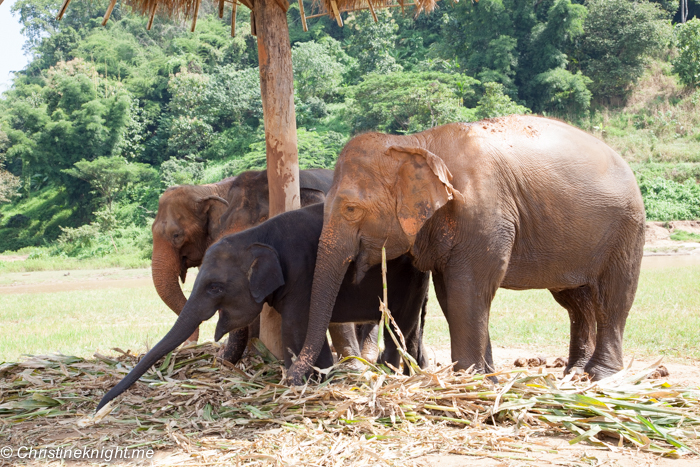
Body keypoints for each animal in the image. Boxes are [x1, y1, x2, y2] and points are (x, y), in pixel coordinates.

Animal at [95, 203, 430, 412]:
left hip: (409, 276)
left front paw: (306, 381)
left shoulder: (303, 274)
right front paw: (315, 378)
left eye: (214, 287)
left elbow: (296, 328)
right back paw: (417, 370)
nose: (100, 406)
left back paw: (392, 372)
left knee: (401, 325)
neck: (257, 234)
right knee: (412, 327)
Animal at [286, 115, 644, 386]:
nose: (292, 378)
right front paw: (486, 378)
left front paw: (470, 379)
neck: (417, 142)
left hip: (626, 228)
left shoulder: (484, 217)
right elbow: (452, 295)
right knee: (575, 300)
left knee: (614, 296)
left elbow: (467, 292)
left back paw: (601, 376)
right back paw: (574, 372)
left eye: (350, 209)